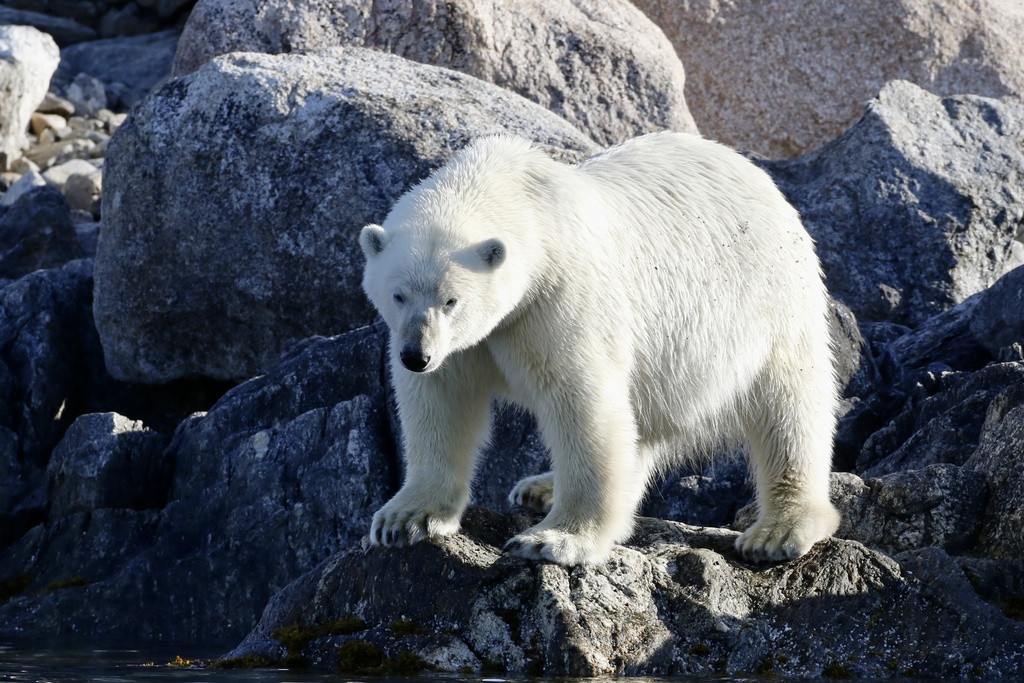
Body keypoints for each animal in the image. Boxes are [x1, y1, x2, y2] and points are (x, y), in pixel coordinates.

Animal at [360, 133, 839, 565]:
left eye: (451, 300)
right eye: (398, 294)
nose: (415, 355)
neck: (526, 203)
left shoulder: (555, 298)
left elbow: (581, 401)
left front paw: (553, 540)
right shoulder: (465, 344)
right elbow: (441, 400)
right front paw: (404, 519)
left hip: (768, 299)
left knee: (789, 405)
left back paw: (779, 530)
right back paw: (540, 487)